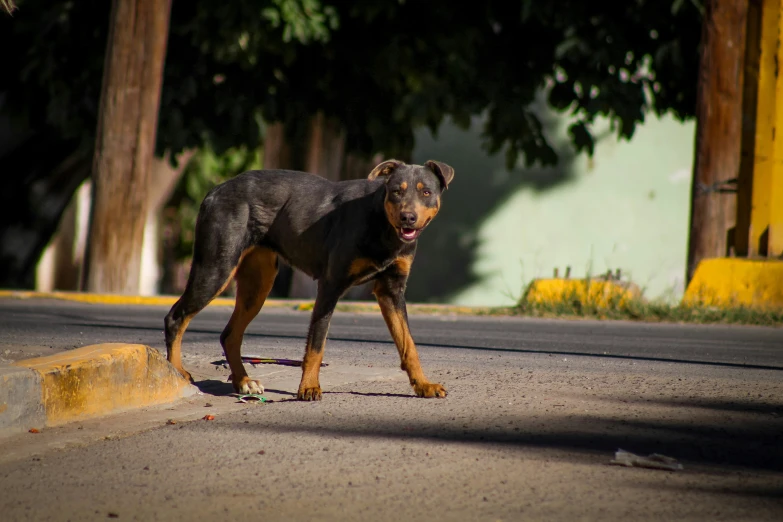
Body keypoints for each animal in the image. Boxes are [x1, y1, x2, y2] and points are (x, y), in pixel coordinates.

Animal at [165, 158, 456, 398]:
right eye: (396, 191)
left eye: (426, 192)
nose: (408, 217)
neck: (382, 223)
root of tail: (215, 191)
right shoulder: (330, 286)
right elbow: (316, 343)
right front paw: (308, 387)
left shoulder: (391, 290)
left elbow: (408, 344)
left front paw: (423, 385)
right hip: (216, 268)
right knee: (176, 317)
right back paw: (178, 373)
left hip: (258, 284)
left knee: (229, 335)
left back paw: (244, 382)